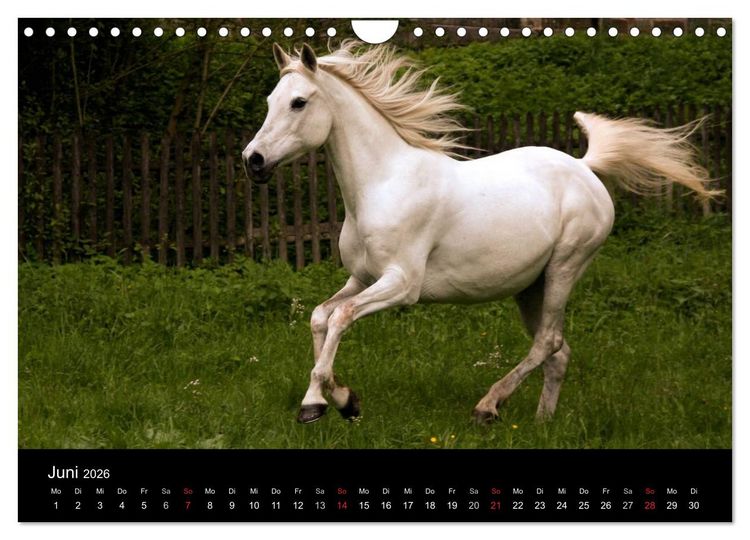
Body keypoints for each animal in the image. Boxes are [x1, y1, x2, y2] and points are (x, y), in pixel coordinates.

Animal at [242, 41, 720, 425]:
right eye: (270, 100)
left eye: (299, 102)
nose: (253, 160)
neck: (382, 183)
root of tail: (584, 167)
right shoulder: (362, 278)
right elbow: (320, 316)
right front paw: (330, 401)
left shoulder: (402, 284)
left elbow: (340, 317)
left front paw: (328, 401)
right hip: (531, 287)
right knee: (558, 351)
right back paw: (542, 423)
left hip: (566, 267)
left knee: (547, 342)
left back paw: (488, 406)